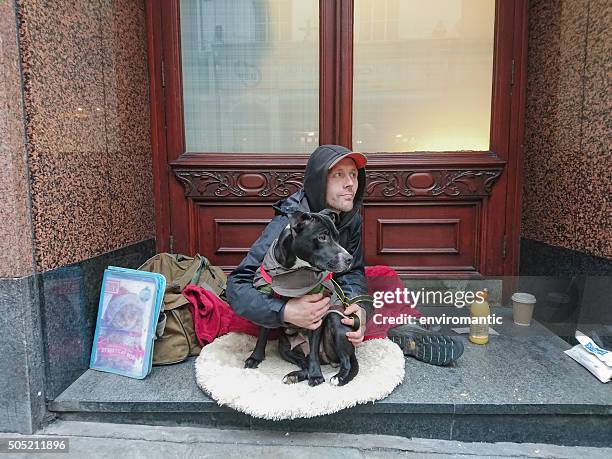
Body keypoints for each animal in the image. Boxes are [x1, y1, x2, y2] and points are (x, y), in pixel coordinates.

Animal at [243, 212, 358, 388]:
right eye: (322, 237)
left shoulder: (316, 311)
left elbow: (314, 350)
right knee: (305, 362)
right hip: (285, 347)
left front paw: (316, 376)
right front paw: (255, 358)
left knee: (344, 361)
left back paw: (338, 377)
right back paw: (295, 375)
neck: (293, 270)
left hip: (336, 321)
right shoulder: (268, 295)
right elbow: (262, 335)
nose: (349, 258)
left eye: (337, 237)